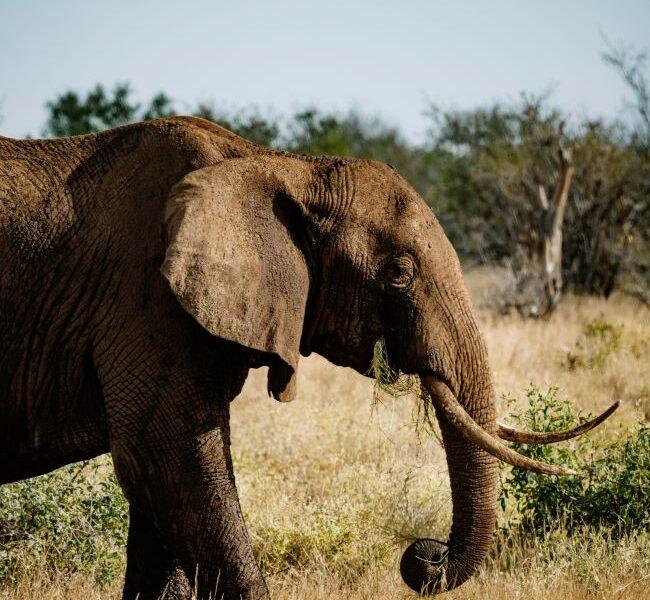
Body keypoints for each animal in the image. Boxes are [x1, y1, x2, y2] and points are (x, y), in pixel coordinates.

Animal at [0, 116, 618, 598]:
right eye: (398, 273)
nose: (424, 556)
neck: (279, 166)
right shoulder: (147, 301)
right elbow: (167, 460)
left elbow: (163, 498)